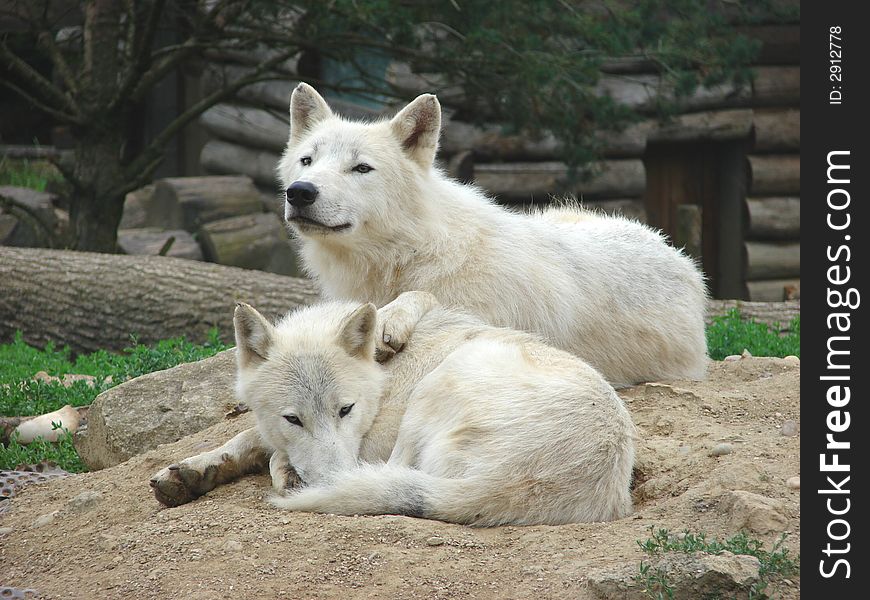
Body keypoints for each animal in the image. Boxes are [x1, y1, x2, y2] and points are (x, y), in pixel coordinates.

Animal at [153, 292, 636, 528]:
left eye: (346, 410)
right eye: (293, 418)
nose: (330, 479)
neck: (382, 380)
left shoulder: (371, 438)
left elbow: (260, 443)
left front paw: (280, 468)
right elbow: (248, 436)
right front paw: (192, 471)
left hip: (439, 383)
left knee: (394, 471)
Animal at [280, 83, 708, 390]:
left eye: (361, 168)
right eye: (307, 160)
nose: (300, 192)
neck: (405, 256)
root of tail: (675, 251)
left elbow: (427, 297)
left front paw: (392, 318)